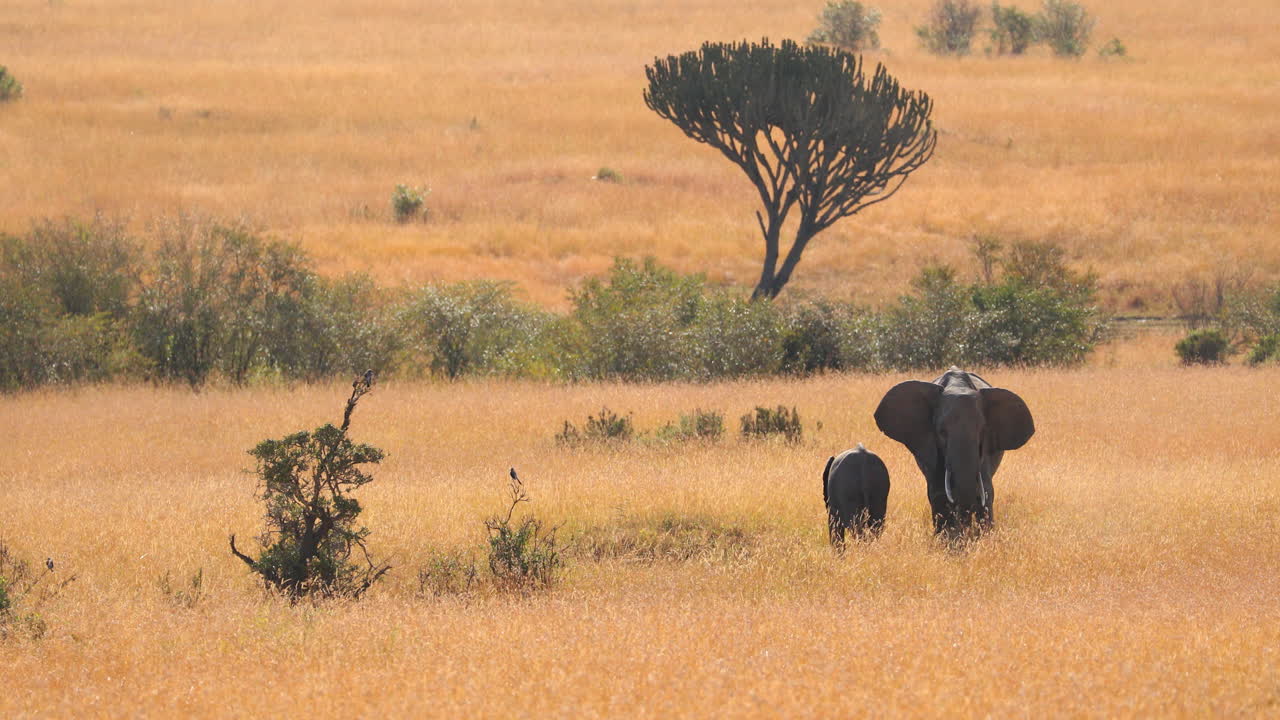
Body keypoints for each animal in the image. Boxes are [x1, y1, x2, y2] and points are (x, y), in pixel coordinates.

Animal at [873, 367, 1034, 537]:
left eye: (982, 431)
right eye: (941, 432)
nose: (965, 530)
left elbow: (986, 491)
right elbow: (938, 493)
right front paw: (947, 539)